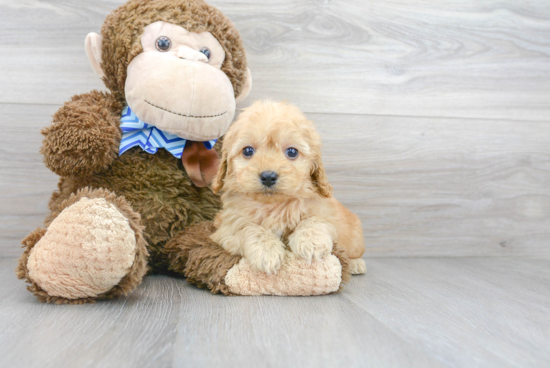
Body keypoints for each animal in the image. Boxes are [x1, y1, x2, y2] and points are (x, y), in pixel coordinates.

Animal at [211, 99, 366, 274]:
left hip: (355, 239)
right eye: (248, 151)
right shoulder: (225, 228)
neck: (274, 205)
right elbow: (248, 227)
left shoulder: (327, 213)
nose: (268, 176)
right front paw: (266, 251)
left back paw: (355, 264)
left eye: (292, 152)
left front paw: (311, 242)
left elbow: (316, 219)